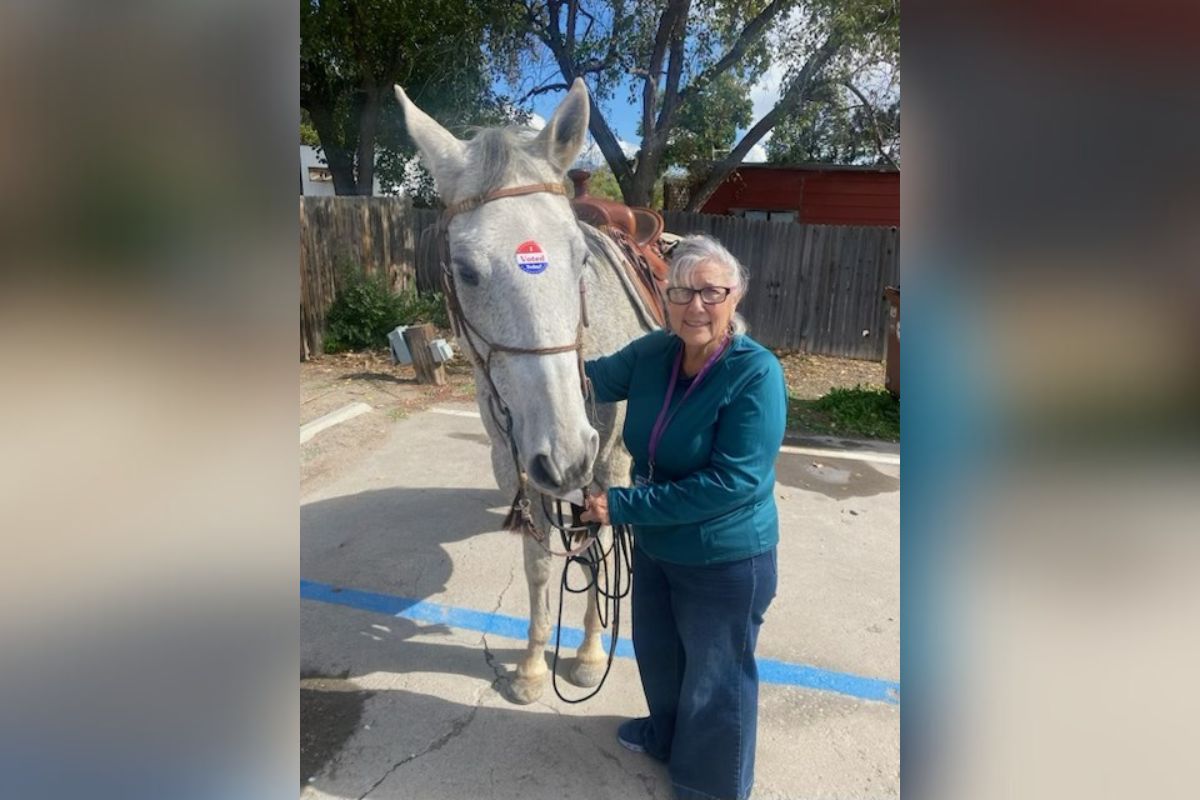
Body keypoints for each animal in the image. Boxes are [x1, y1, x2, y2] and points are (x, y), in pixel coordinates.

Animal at [395, 78, 658, 704]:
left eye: (581, 257)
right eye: (465, 270)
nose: (567, 454)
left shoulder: (607, 462)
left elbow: (596, 548)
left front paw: (589, 655)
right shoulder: (520, 466)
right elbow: (541, 563)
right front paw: (534, 666)